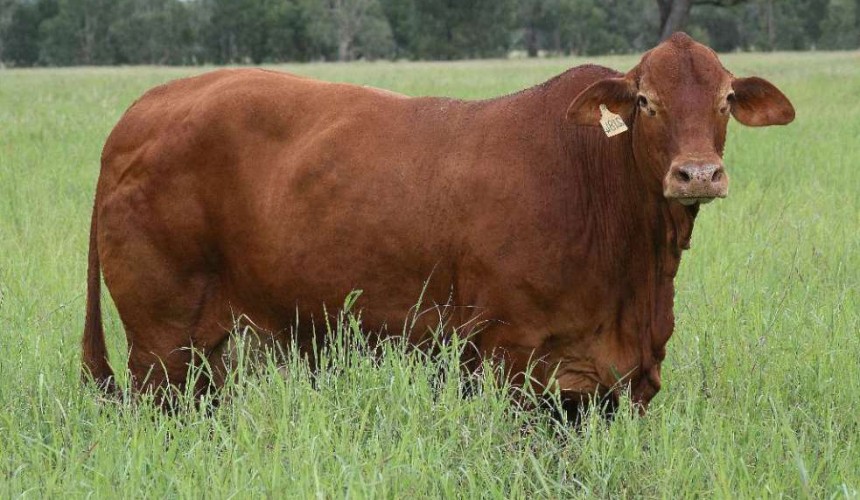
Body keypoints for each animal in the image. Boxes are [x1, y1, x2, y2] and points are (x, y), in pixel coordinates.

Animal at [82, 33, 794, 414]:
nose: (697, 174)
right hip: (160, 344)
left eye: (726, 99)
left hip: (207, 354)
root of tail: (145, 109)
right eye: (645, 101)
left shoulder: (617, 385)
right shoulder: (509, 360)